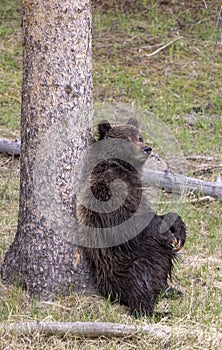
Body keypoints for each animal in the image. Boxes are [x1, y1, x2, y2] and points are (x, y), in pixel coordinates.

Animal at [76, 119, 186, 316]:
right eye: (127, 139)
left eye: (139, 137)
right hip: (123, 266)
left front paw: (179, 230)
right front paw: (168, 234)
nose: (146, 148)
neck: (122, 168)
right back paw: (153, 310)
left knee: (163, 261)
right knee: (139, 277)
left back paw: (169, 290)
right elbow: (129, 221)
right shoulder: (108, 193)